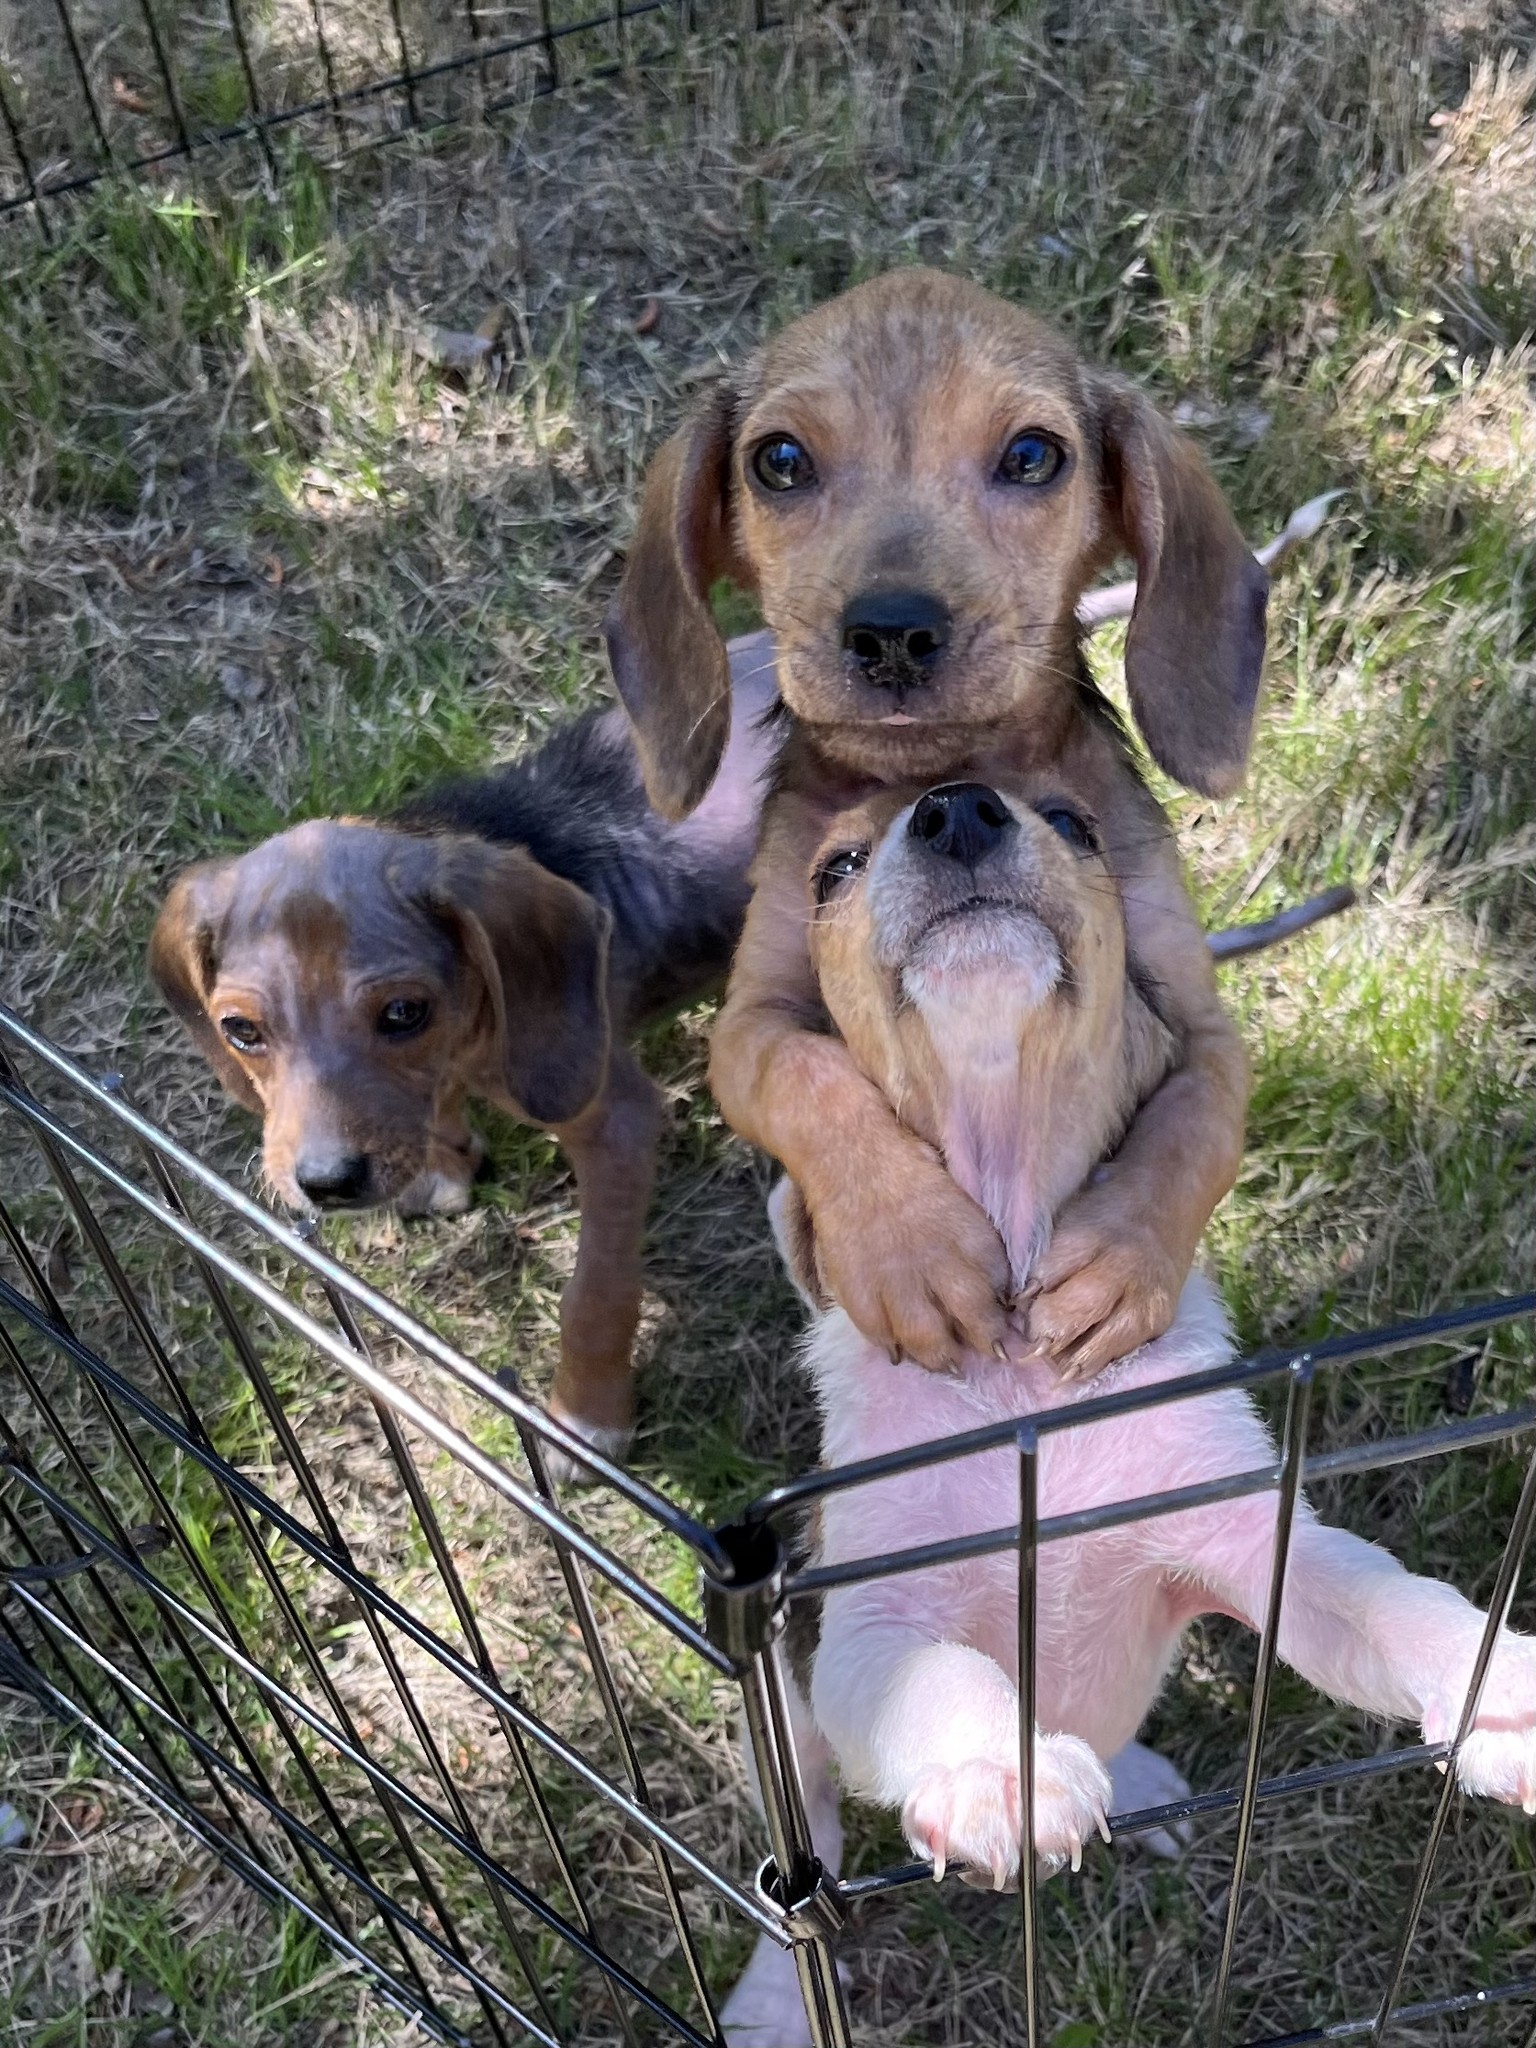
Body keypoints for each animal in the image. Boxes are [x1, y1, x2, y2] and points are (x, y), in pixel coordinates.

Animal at [606, 272, 1269, 1384]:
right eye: (779, 460)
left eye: (1033, 456)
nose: (891, 631)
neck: (943, 769)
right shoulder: (749, 1023)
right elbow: (811, 1078)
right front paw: (906, 1247)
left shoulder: (1208, 1029)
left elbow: (1197, 1125)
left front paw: (1122, 1260)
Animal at [729, 770, 1536, 2048]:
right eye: (831, 870)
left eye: (1074, 822)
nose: (957, 806)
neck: (1022, 1370)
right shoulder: (870, 1624)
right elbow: (941, 1679)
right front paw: (998, 1770)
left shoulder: (1252, 1535)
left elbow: (1393, 1599)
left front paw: (1496, 1682)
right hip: (786, 1743)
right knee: (796, 1872)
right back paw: (773, 1994)